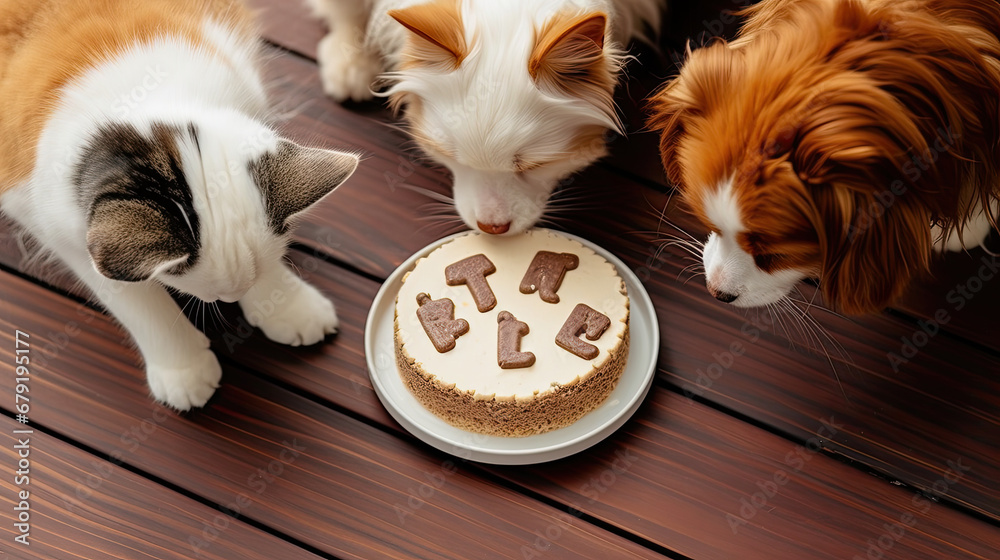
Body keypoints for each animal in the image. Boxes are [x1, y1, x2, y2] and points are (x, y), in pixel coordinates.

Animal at [0, 0, 360, 412]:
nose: (229, 300)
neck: (137, 101)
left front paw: (284, 304)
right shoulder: (57, 226)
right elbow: (138, 304)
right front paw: (183, 368)